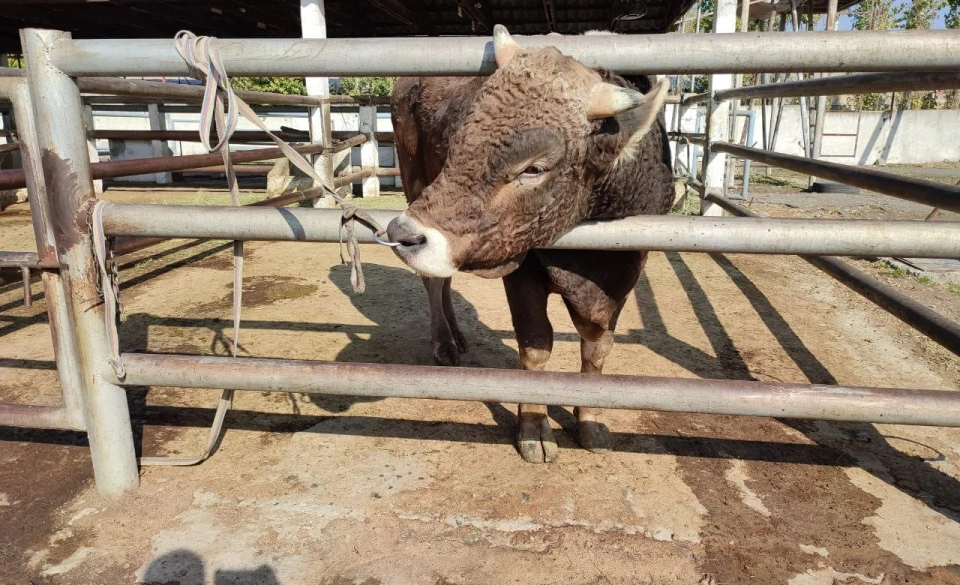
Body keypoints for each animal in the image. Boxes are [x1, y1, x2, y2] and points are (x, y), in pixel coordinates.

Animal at [387, 25, 674, 464]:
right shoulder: (521, 270)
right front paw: (535, 426)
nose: (402, 233)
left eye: (534, 168)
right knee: (434, 283)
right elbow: (536, 345)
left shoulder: (626, 273)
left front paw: (590, 419)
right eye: (457, 144)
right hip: (413, 181)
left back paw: (457, 334)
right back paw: (444, 342)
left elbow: (598, 348)